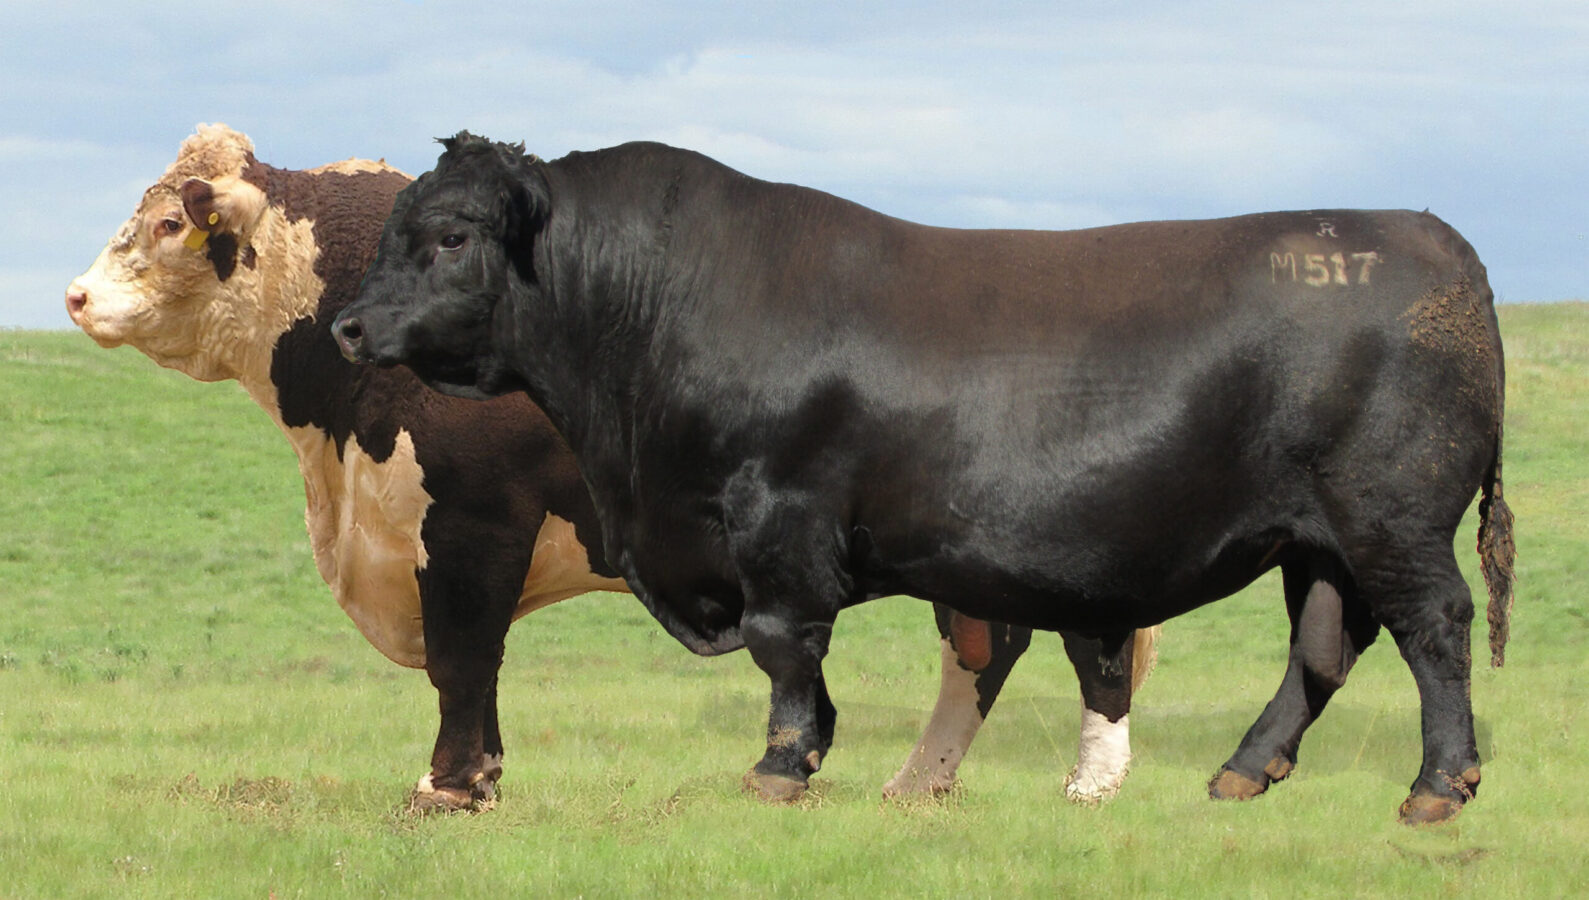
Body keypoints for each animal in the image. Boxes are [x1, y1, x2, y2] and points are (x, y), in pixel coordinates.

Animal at [65, 124, 1158, 812]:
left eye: (169, 224)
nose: (74, 296)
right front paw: (475, 781)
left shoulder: (470, 525)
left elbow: (464, 660)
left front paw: (447, 788)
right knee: (986, 644)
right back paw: (918, 783)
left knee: (1082, 643)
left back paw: (1088, 784)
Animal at [334, 133, 1515, 824]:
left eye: (450, 235)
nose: (346, 326)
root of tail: (1431, 236)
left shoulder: (777, 517)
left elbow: (784, 644)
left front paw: (779, 768)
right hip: (1319, 537)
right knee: (1326, 643)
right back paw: (1243, 770)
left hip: (1392, 516)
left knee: (1434, 628)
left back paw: (1436, 788)